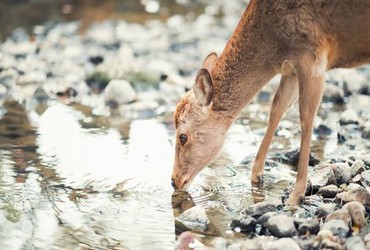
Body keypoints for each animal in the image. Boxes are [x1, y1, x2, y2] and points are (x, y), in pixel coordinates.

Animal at [171, 0, 370, 205]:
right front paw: (256, 177)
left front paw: (295, 196)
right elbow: (276, 109)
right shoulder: (290, 70)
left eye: (183, 137)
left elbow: (306, 118)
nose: (174, 181)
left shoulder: (313, 58)